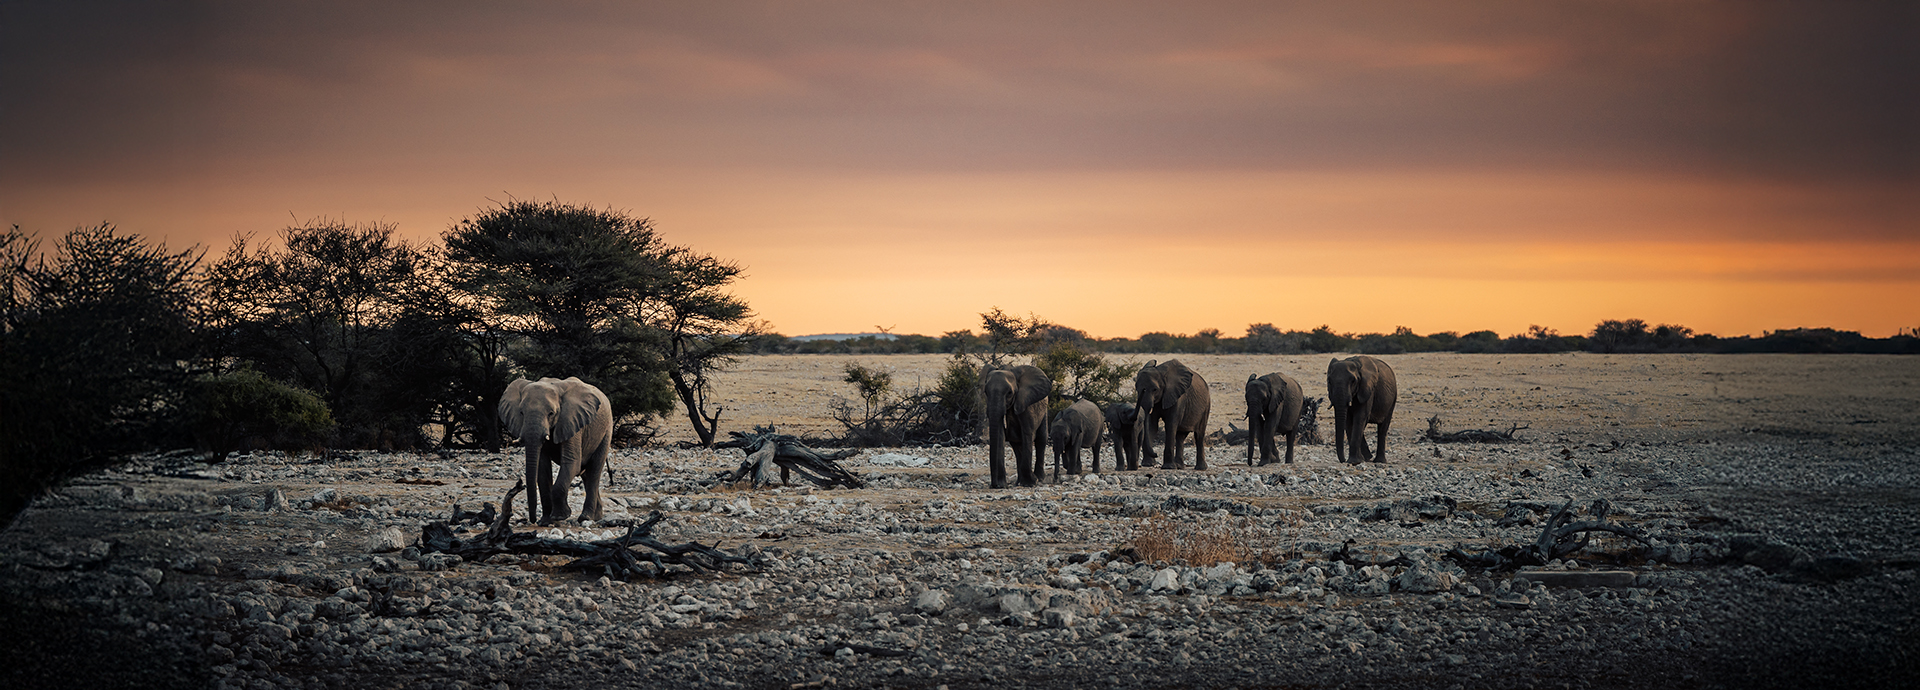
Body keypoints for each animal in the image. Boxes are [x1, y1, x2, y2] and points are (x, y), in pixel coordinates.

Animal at [498, 377, 614, 524]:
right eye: (521, 413)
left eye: (551, 413)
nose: (533, 520)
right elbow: (542, 468)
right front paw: (545, 521)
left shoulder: (572, 422)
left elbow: (571, 463)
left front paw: (560, 516)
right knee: (586, 474)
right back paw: (596, 517)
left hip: (606, 431)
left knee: (594, 470)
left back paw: (585, 517)